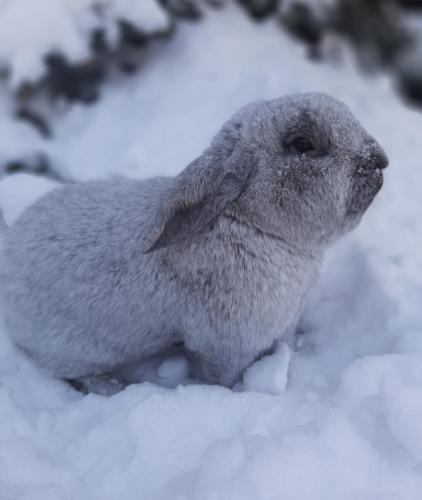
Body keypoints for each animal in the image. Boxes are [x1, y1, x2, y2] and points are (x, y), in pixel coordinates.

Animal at [0, 93, 390, 394]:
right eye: (304, 145)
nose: (381, 160)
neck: (249, 222)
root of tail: (9, 256)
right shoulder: (227, 344)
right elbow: (226, 377)